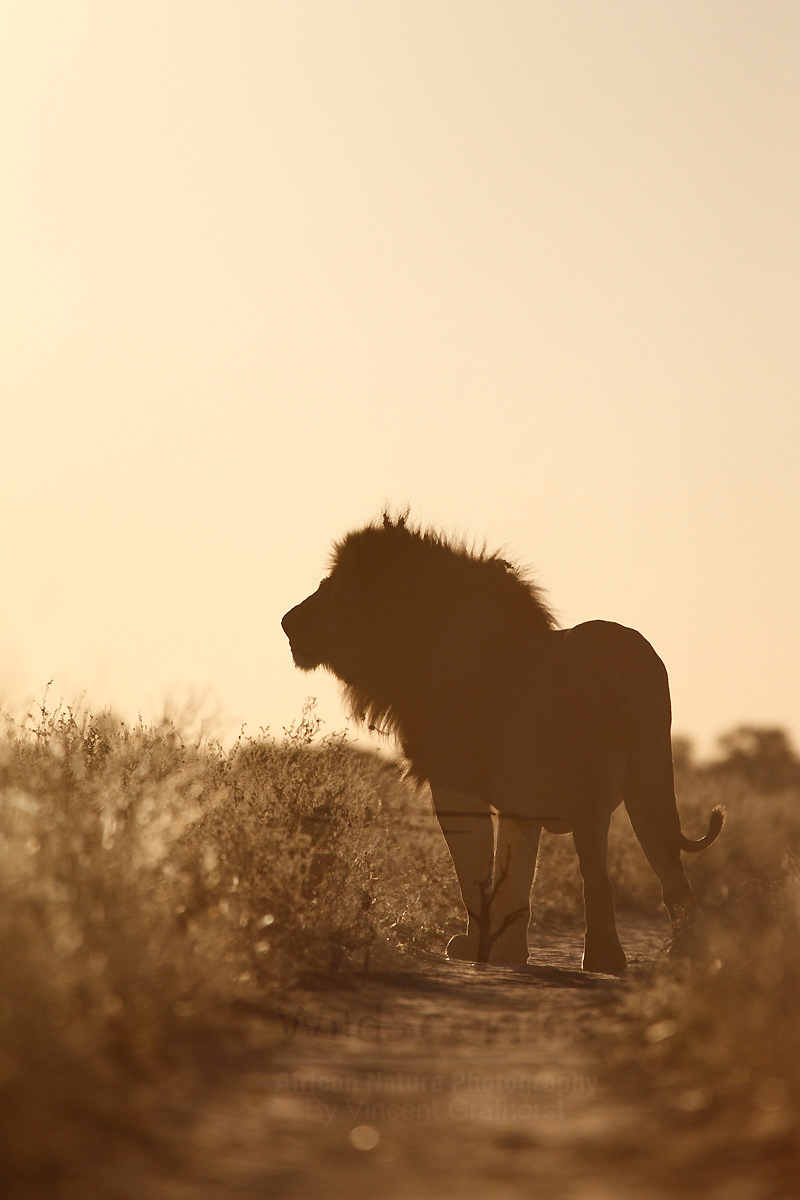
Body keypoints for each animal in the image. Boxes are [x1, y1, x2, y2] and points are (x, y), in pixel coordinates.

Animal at [281, 513, 723, 974]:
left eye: (331, 584)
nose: (286, 622)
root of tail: (625, 662)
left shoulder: (455, 782)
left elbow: (473, 868)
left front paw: (473, 946)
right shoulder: (521, 794)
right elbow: (516, 872)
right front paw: (508, 952)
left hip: (591, 786)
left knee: (598, 876)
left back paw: (604, 957)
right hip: (650, 771)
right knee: (667, 860)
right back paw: (686, 953)